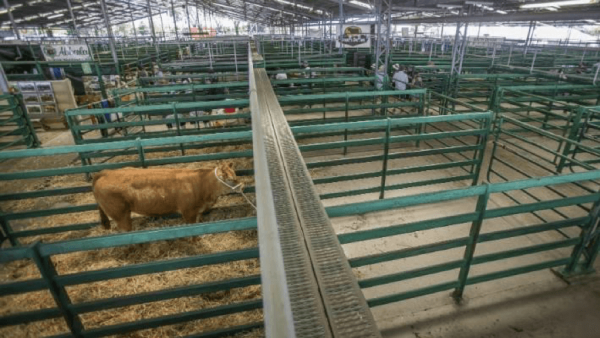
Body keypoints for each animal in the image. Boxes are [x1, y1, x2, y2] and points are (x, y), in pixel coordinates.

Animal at [92, 162, 243, 231]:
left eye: (235, 174)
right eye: (230, 179)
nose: (243, 185)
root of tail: (106, 172)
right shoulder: (188, 212)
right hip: (120, 215)